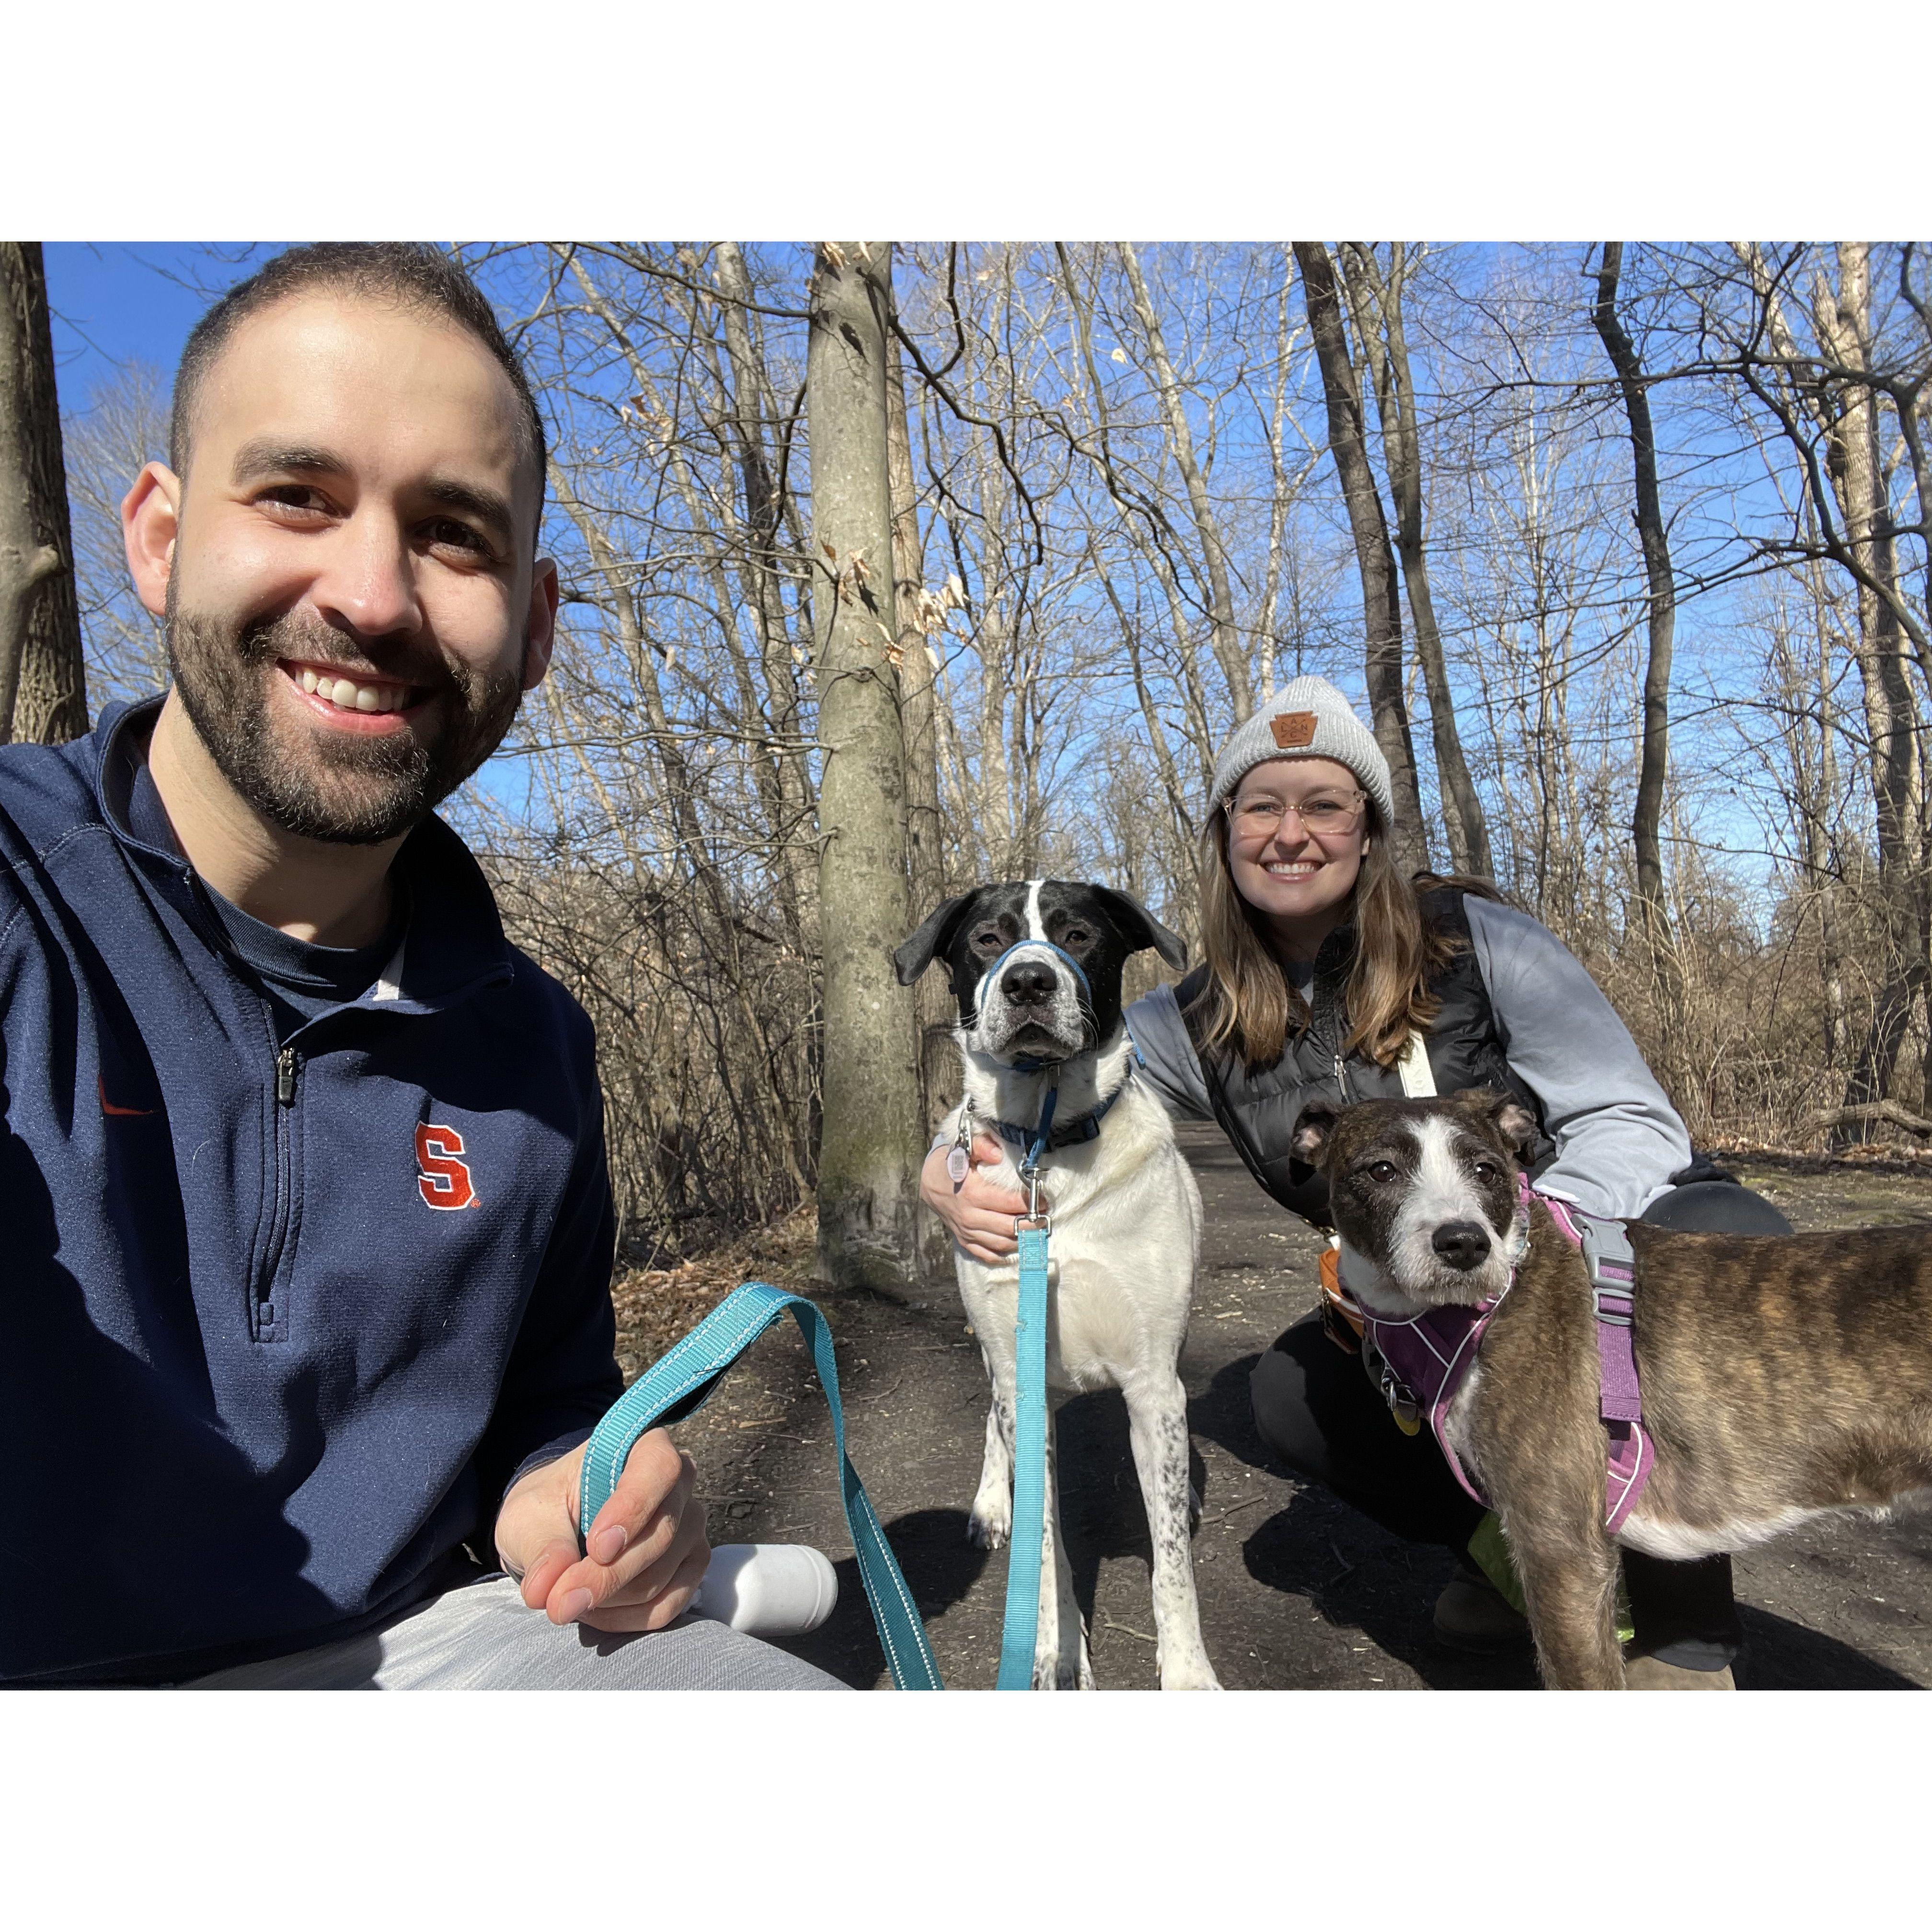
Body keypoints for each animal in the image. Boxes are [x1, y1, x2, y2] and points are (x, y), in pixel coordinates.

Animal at [892, 881, 1221, 1692]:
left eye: (1079, 934)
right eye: (987, 938)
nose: (1029, 982)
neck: (1048, 1155)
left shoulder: (1153, 1381)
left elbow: (1172, 1560)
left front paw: (1188, 1672)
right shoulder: (1022, 1378)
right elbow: (1045, 1546)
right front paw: (1057, 1653)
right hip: (997, 1357)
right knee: (993, 1420)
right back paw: (990, 1503)